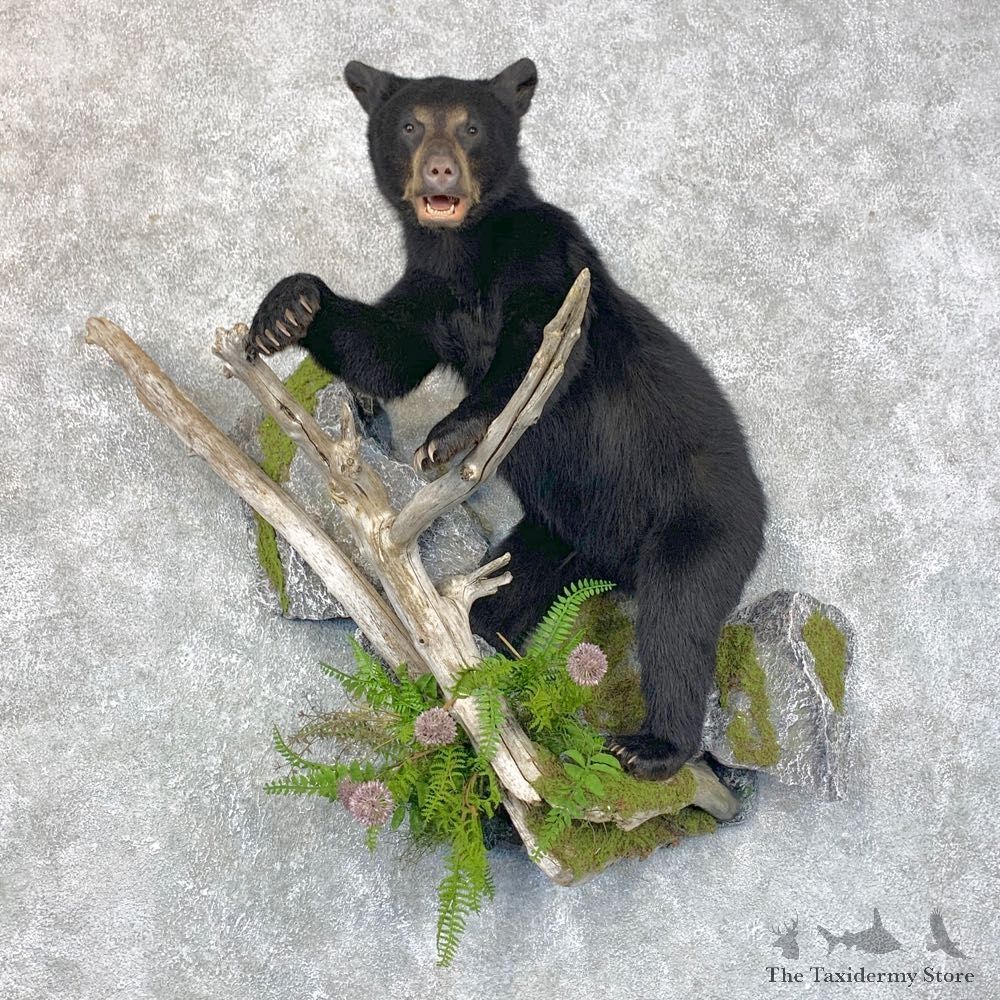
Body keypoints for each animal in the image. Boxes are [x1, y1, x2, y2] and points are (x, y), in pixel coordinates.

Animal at [246, 58, 768, 780]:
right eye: (411, 125)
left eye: (470, 127)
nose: (440, 170)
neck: (463, 253)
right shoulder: (430, 294)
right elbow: (387, 350)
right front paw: (288, 307)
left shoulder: (547, 255)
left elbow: (539, 342)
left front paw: (448, 435)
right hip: (557, 538)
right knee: (503, 595)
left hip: (701, 520)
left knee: (677, 618)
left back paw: (652, 746)